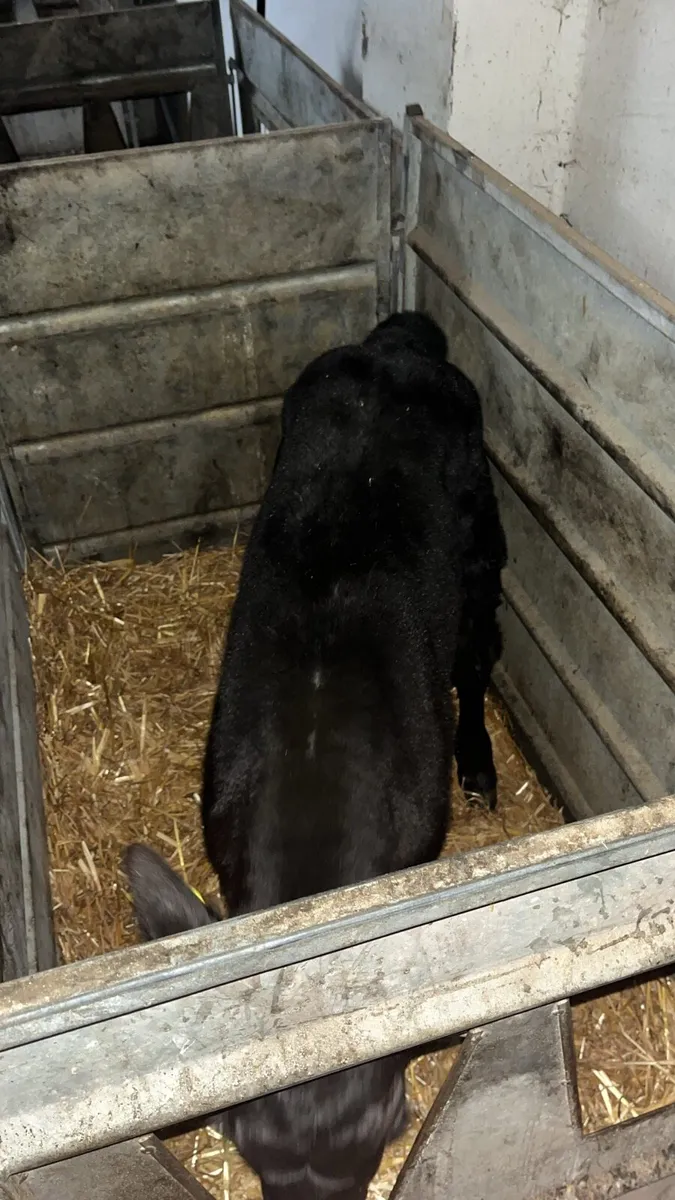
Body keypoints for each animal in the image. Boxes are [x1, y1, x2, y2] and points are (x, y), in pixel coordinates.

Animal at [124, 310, 507, 1199]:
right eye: (245, 1149)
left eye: (382, 1138)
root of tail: (396, 344)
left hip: (480, 535)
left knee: (476, 658)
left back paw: (479, 763)